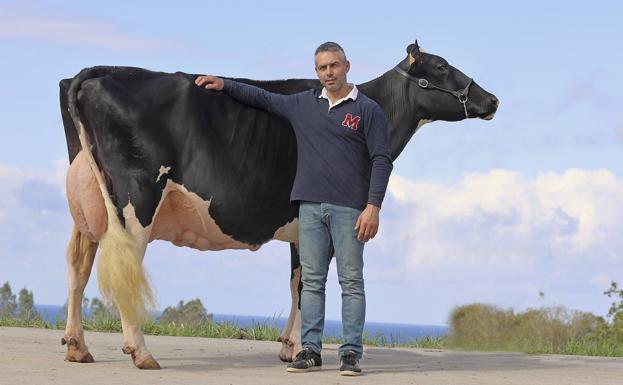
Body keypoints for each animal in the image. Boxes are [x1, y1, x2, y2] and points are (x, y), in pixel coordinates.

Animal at [57, 40, 498, 368]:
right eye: (440, 66)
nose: (491, 99)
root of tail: (98, 71)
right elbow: (306, 284)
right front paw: (301, 349)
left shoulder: (300, 225)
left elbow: (297, 281)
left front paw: (289, 346)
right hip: (136, 201)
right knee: (125, 263)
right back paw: (140, 351)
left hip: (91, 201)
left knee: (79, 262)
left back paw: (78, 346)